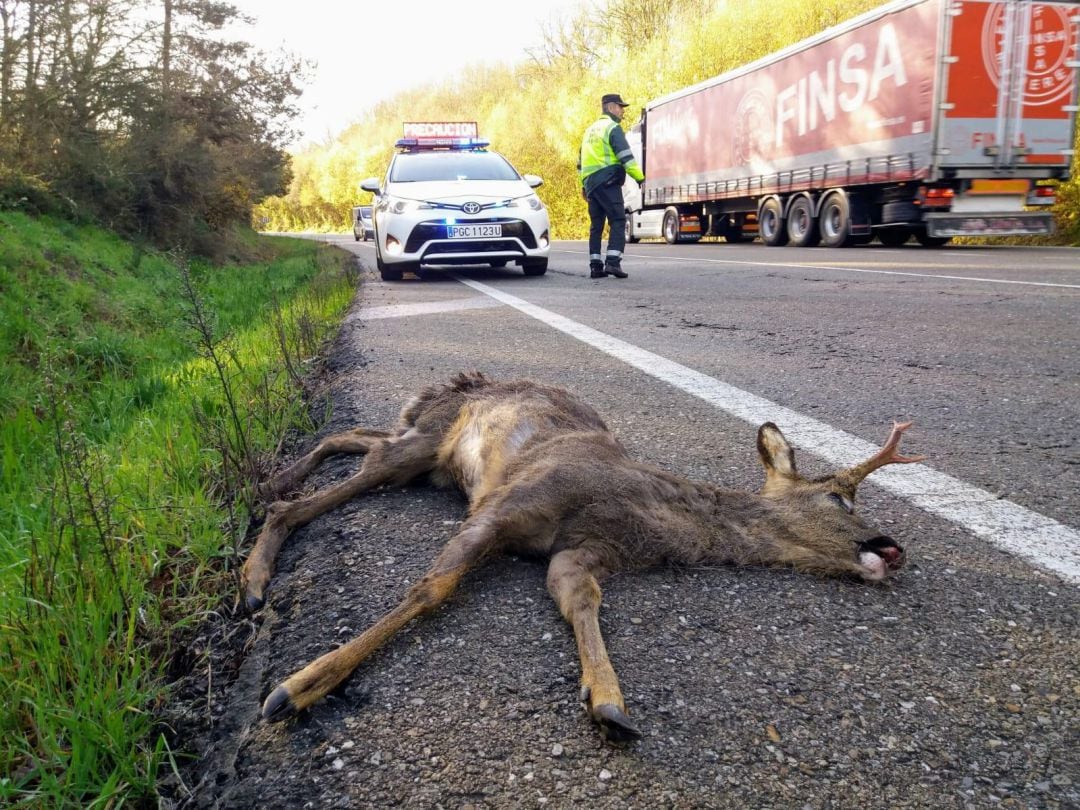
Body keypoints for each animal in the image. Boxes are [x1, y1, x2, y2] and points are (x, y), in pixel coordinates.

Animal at [245, 373, 928, 743]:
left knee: (357, 437)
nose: (892, 547)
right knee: (334, 478)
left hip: (426, 458)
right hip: (428, 443)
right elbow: (432, 588)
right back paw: (258, 557)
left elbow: (578, 595)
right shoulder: (507, 502)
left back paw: (275, 489)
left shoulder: (584, 552)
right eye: (840, 497)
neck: (635, 507)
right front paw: (299, 686)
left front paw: (608, 700)